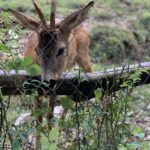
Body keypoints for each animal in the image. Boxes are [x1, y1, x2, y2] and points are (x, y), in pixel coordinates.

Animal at [8, 0, 94, 148]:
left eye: (61, 50)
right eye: (37, 49)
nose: (46, 84)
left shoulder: (56, 83)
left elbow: (49, 116)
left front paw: (50, 142)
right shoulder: (36, 86)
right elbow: (38, 118)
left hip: (83, 55)